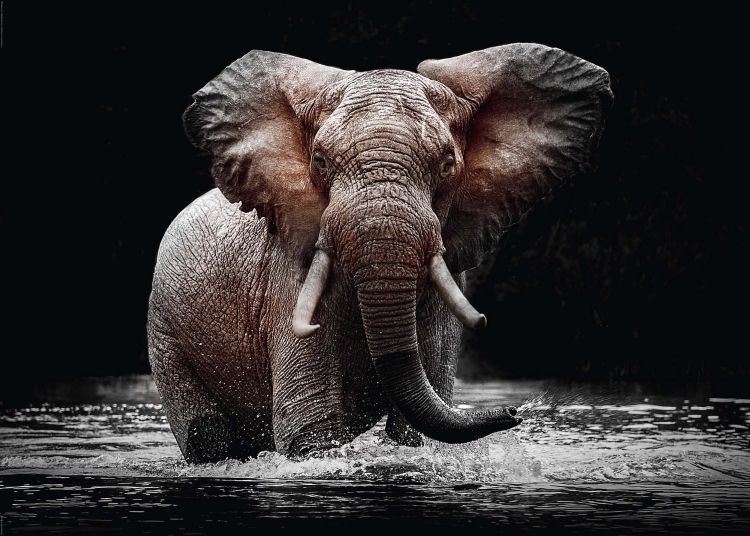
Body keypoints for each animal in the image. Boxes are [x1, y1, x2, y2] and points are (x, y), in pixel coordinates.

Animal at [147, 43, 612, 462]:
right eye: (319, 161)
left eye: (447, 164)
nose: (515, 411)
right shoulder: (288, 278)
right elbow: (310, 430)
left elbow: (415, 430)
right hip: (165, 333)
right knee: (207, 438)